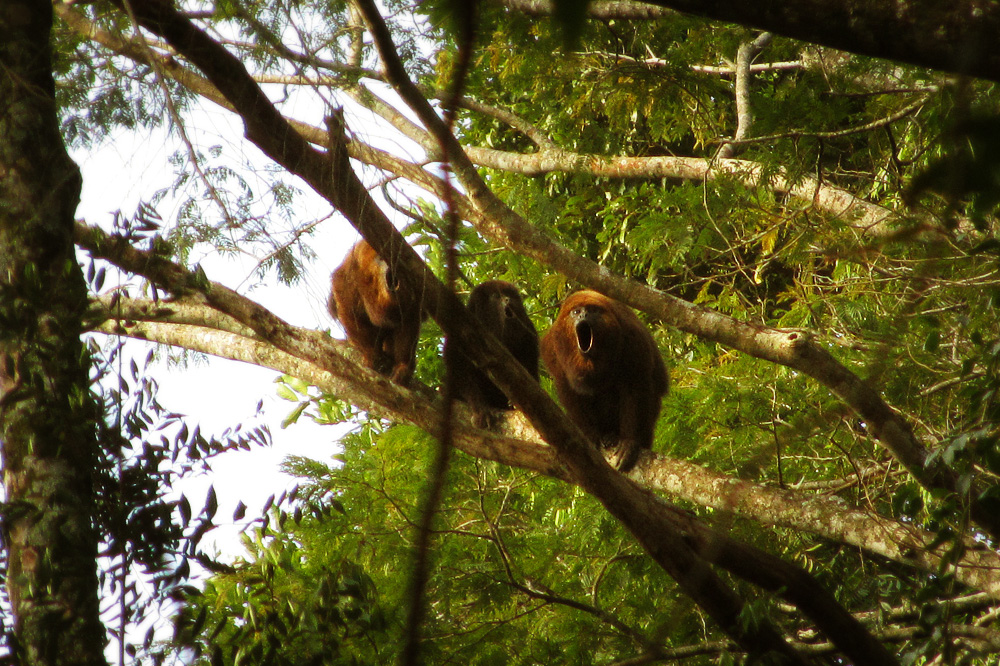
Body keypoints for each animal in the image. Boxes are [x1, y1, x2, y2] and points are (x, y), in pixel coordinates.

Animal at [328, 240, 425, 386]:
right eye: (381, 257)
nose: (391, 264)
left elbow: (408, 319)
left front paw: (403, 366)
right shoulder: (348, 278)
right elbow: (350, 312)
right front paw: (371, 354)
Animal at [445, 280, 539, 428]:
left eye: (509, 295)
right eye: (497, 296)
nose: (508, 300)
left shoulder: (529, 332)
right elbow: (459, 369)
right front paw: (480, 410)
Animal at [540, 290, 668, 472]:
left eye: (593, 310)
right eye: (576, 312)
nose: (584, 315)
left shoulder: (633, 337)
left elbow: (635, 385)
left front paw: (629, 443)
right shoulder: (552, 347)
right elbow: (567, 389)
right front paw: (589, 434)